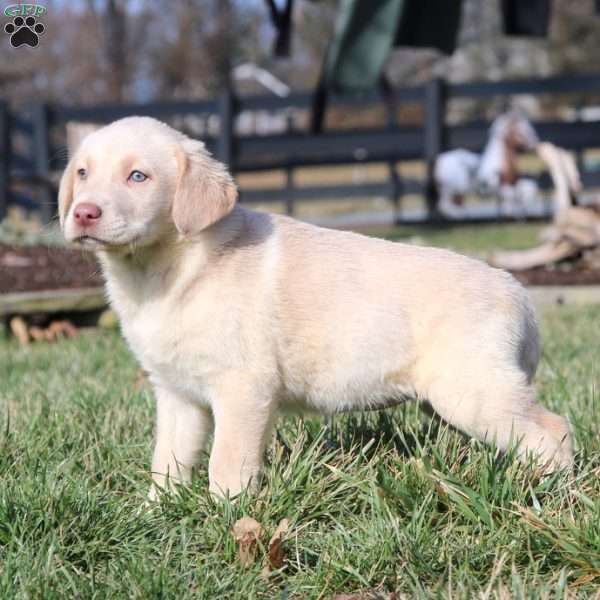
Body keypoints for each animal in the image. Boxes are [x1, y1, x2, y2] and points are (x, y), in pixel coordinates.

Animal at [58, 116, 576, 496]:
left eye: (138, 176)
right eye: (82, 173)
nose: (83, 212)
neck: (166, 268)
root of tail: (518, 292)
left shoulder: (243, 387)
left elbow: (227, 464)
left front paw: (227, 518)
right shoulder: (176, 394)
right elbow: (167, 462)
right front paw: (156, 514)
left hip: (474, 391)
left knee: (554, 431)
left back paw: (544, 490)